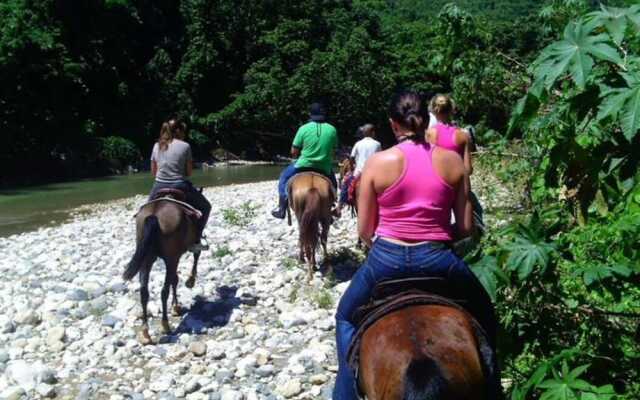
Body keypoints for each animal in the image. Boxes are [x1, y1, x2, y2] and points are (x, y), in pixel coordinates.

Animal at [123, 197, 201, 344]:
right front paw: (189, 283)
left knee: (144, 292)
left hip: (146, 259)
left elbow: (174, 279)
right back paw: (165, 325)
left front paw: (175, 306)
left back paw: (146, 332)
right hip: (171, 258)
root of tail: (154, 215)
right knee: (164, 291)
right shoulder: (176, 257)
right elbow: (178, 277)